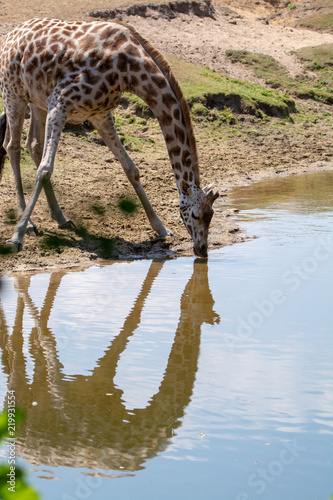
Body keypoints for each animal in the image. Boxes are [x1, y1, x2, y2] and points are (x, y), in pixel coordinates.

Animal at [0, 18, 218, 258]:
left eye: (212, 214)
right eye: (196, 214)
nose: (202, 249)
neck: (129, 71)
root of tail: (9, 37)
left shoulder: (99, 114)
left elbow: (131, 168)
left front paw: (161, 228)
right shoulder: (60, 101)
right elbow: (45, 169)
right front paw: (16, 235)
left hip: (37, 99)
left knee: (33, 144)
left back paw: (61, 218)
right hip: (14, 93)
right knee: (13, 146)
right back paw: (28, 224)